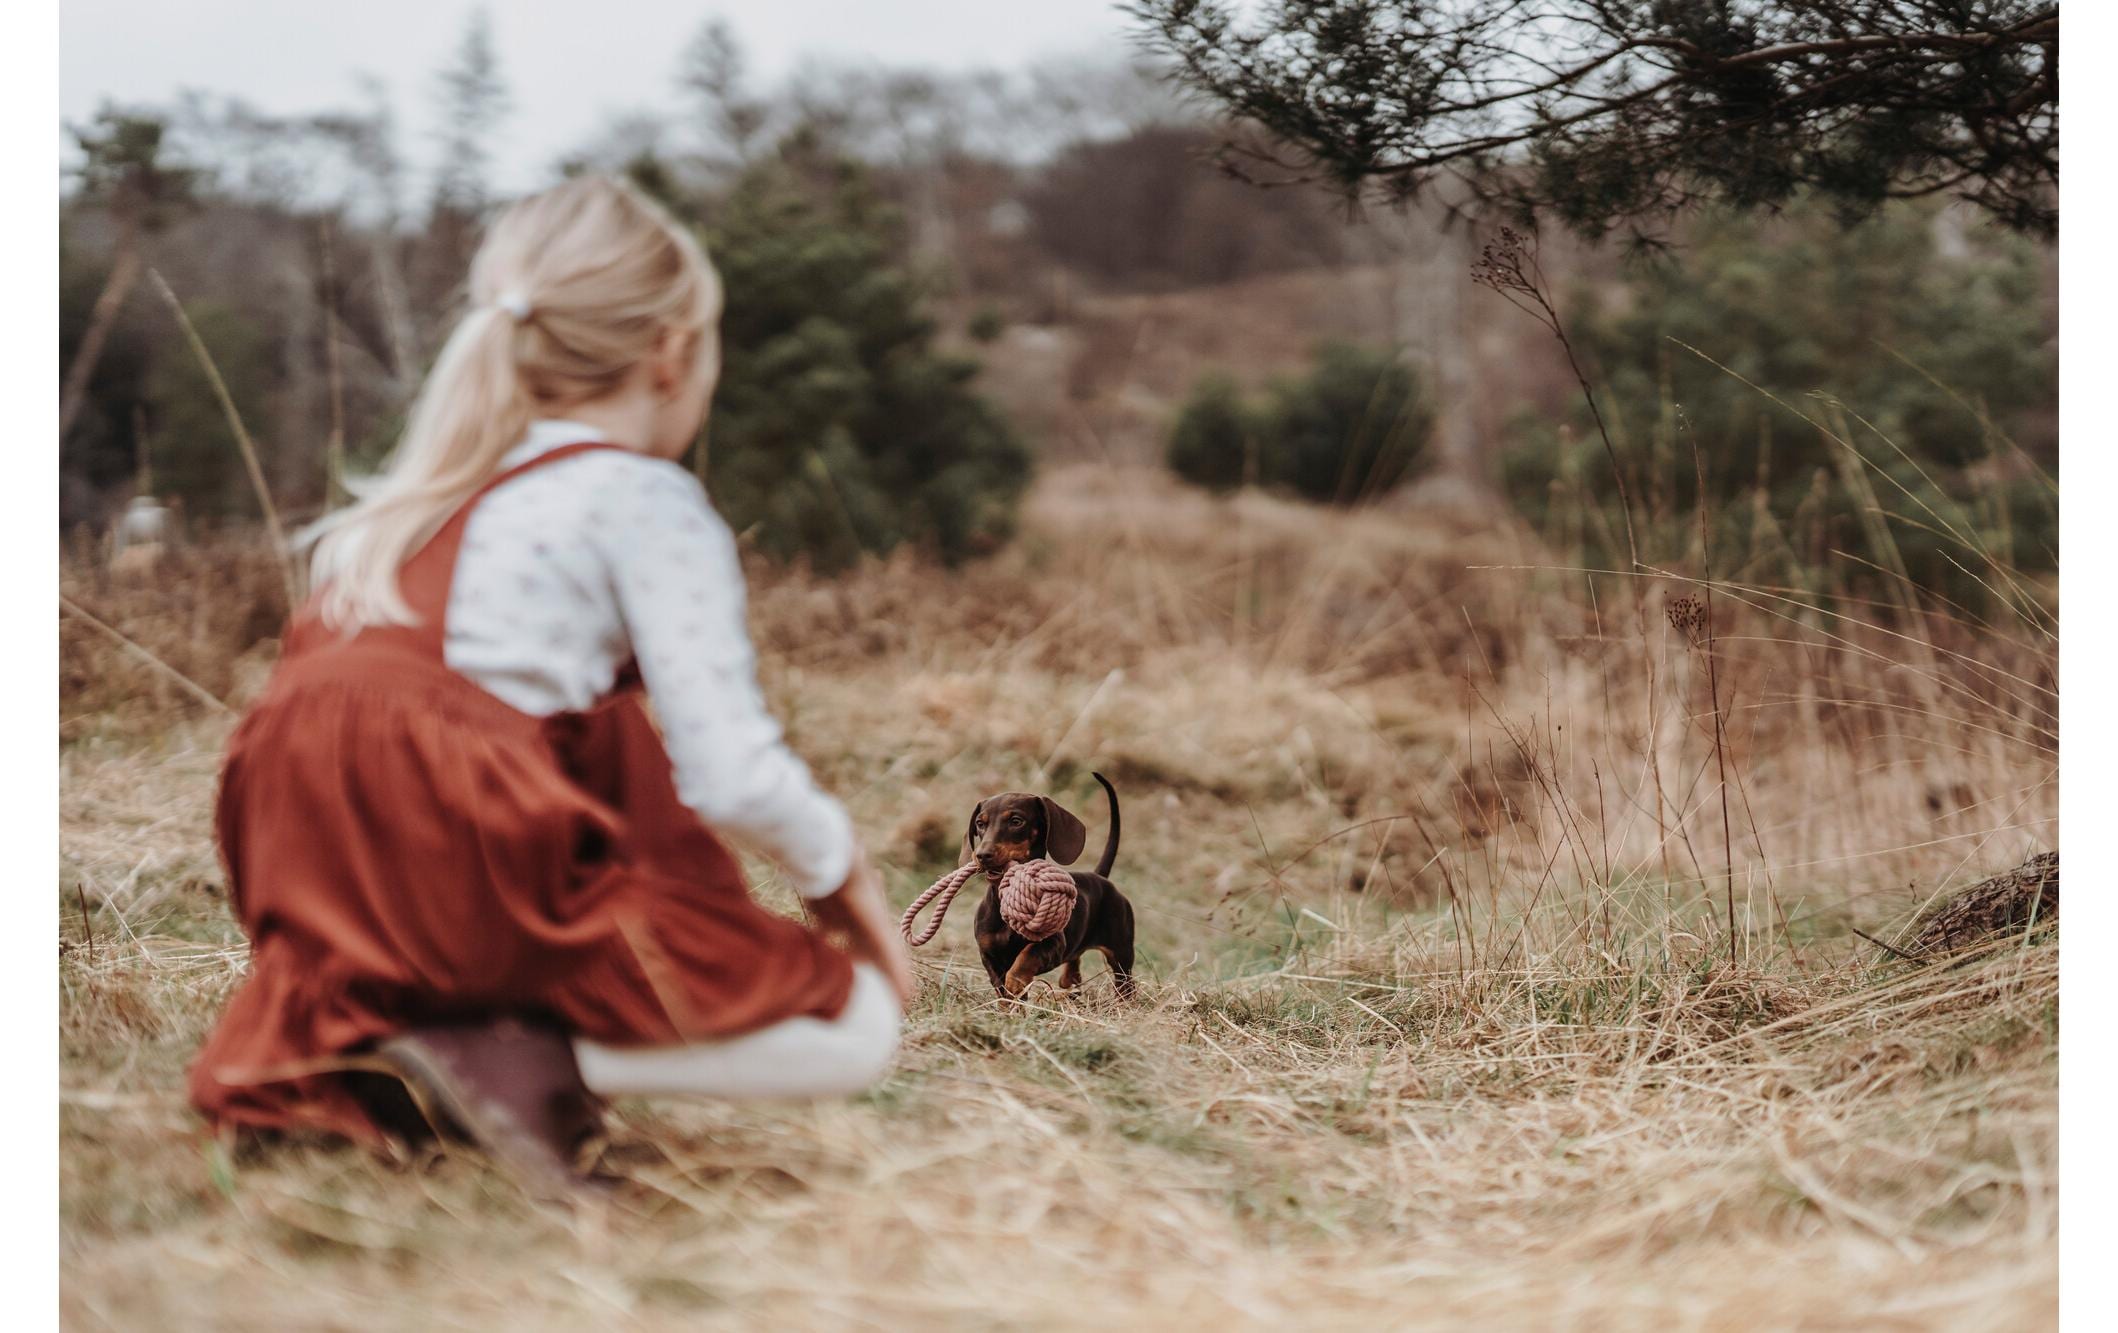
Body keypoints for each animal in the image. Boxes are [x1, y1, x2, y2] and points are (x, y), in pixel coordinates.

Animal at [970, 771, 1135, 1000]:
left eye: (1016, 821)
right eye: (980, 823)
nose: (983, 855)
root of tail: (1100, 878)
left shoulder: (1053, 944)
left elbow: (1027, 955)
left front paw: (1015, 981)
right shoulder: (988, 954)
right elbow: (1002, 989)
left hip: (1121, 952)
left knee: (1125, 982)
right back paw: (1070, 982)